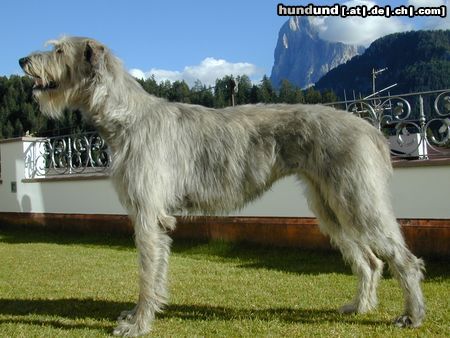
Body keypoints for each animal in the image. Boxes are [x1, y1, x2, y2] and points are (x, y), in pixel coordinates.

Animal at [19, 36, 424, 336]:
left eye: (58, 50)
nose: (22, 59)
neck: (127, 115)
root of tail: (368, 127)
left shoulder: (148, 213)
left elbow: (147, 272)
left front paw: (139, 323)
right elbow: (157, 269)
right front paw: (141, 316)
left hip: (357, 200)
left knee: (405, 260)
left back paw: (412, 315)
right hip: (330, 206)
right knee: (370, 260)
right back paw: (360, 306)